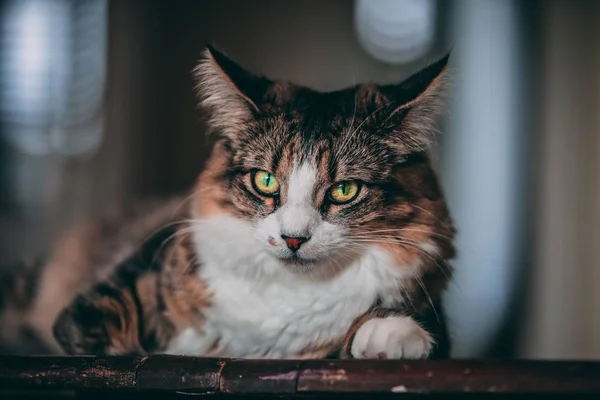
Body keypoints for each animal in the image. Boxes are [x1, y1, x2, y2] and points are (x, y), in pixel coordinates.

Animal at [0, 44, 454, 360]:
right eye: (265, 181)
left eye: (344, 190)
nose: (293, 239)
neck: (286, 293)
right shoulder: (97, 302)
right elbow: (115, 343)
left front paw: (393, 334)